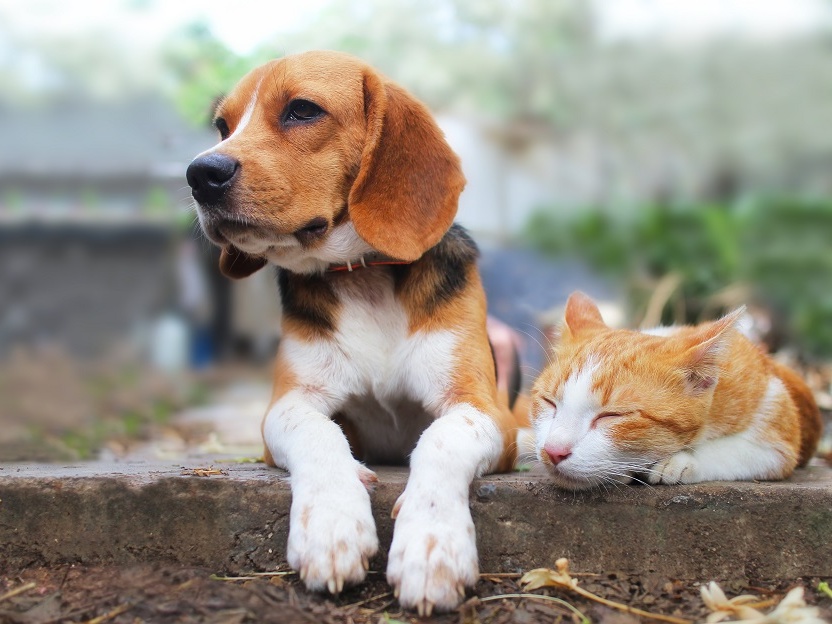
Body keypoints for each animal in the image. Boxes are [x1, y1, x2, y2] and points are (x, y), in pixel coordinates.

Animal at [187, 48, 528, 616]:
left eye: (303, 110)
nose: (199, 173)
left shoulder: (483, 409)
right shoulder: (289, 404)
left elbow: (440, 439)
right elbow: (318, 434)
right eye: (222, 126)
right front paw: (331, 525)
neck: (364, 275)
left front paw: (431, 544)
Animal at [528, 290, 824, 490]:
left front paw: (678, 462)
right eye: (549, 402)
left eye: (612, 416)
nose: (553, 451)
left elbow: (739, 451)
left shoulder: (778, 429)